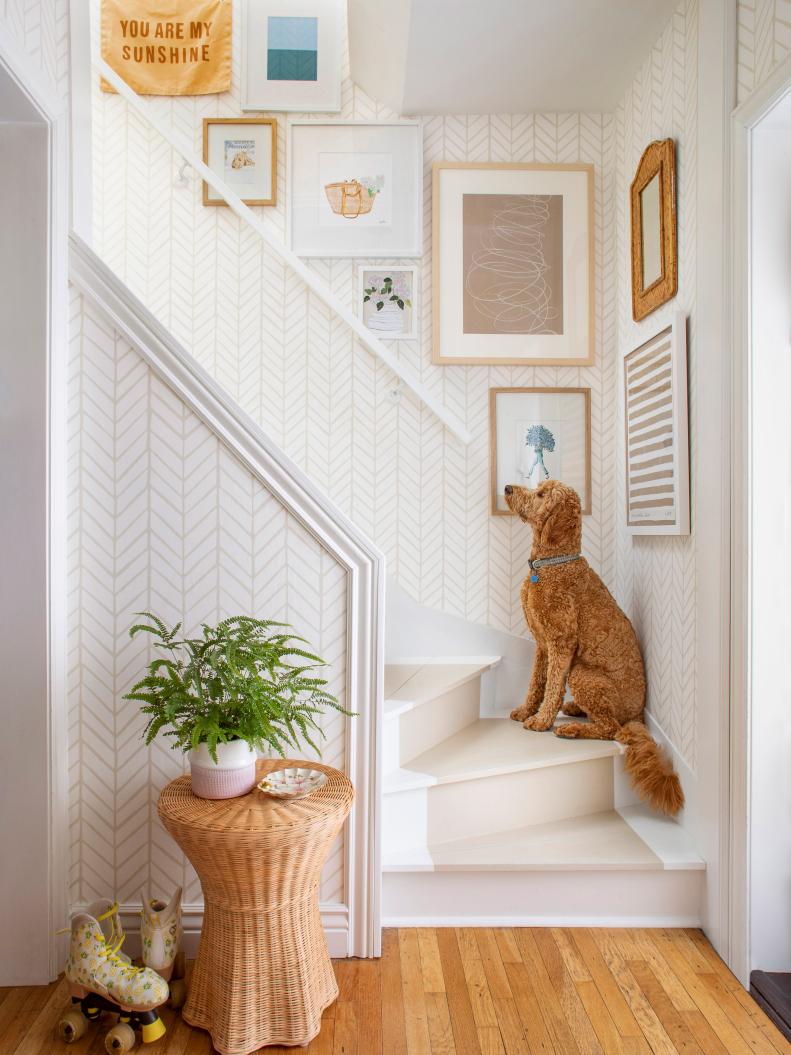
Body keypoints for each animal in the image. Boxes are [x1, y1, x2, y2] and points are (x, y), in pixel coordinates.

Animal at [508, 478, 687, 814]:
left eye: (541, 494)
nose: (508, 489)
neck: (553, 562)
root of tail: (637, 716)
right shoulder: (542, 644)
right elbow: (536, 683)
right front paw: (526, 710)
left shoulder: (560, 642)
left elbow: (552, 686)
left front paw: (541, 721)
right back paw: (575, 710)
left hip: (582, 674)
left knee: (610, 727)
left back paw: (571, 729)